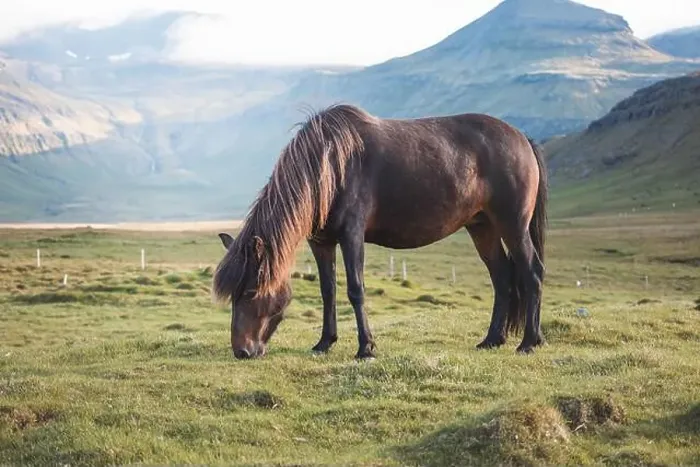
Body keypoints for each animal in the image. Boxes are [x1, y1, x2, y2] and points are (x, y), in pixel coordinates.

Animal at [212, 103, 548, 360]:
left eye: (251, 292)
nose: (242, 351)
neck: (330, 166)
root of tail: (523, 138)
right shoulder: (321, 242)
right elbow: (328, 290)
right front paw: (324, 343)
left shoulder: (352, 236)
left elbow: (355, 289)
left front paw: (366, 348)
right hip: (482, 227)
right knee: (502, 277)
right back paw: (492, 339)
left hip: (513, 225)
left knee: (531, 272)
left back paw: (529, 342)